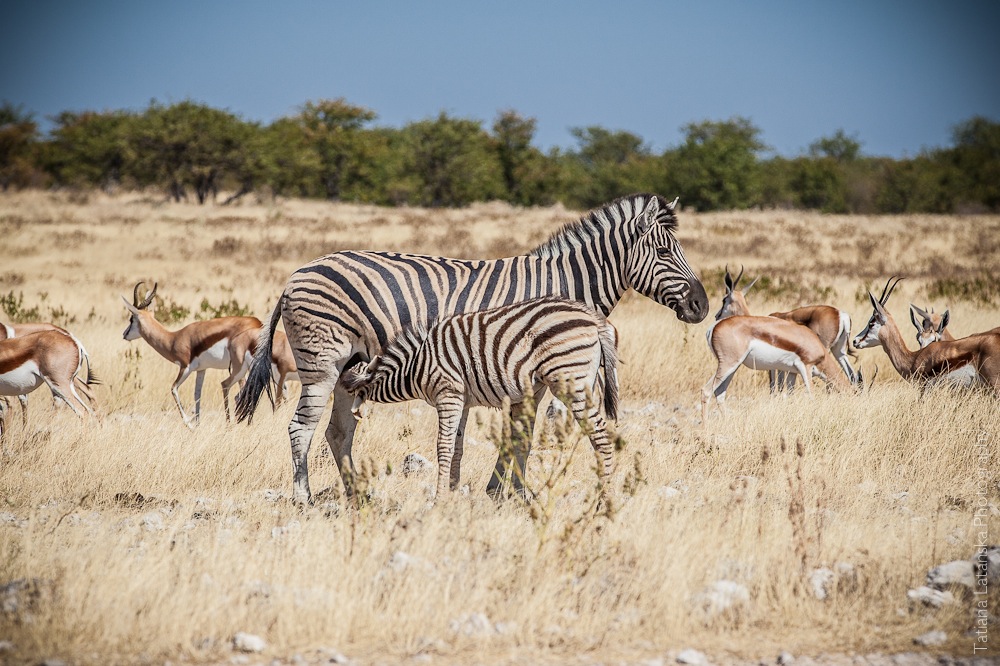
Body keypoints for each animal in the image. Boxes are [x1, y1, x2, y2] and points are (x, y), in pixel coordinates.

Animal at [121, 282, 264, 426]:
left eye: (131, 319)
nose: (124, 334)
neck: (174, 338)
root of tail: (258, 323)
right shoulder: (201, 369)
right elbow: (197, 394)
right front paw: (197, 423)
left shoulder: (185, 367)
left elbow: (173, 389)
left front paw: (189, 425)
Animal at [340, 296, 616, 498]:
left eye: (349, 372)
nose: (335, 382)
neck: (416, 365)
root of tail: (593, 319)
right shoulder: (461, 400)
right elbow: (457, 447)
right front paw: (452, 494)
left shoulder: (448, 393)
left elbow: (443, 446)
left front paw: (439, 500)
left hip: (571, 379)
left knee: (601, 435)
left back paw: (605, 497)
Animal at [704, 268, 852, 418]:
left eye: (724, 300)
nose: (716, 315)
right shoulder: (800, 367)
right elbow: (802, 394)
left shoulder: (791, 371)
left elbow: (788, 393)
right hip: (729, 364)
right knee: (707, 391)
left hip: (733, 367)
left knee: (719, 393)